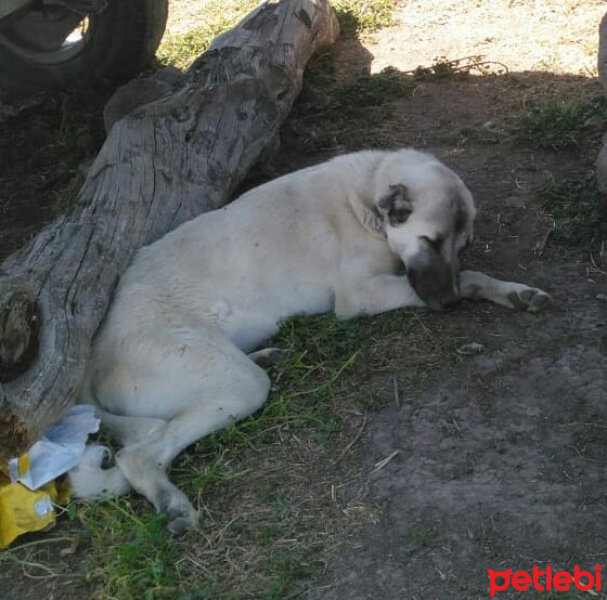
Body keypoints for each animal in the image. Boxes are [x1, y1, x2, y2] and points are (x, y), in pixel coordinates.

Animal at [70, 148, 552, 532]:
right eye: (430, 241)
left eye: (462, 244)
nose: (447, 303)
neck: (366, 197)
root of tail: (89, 363)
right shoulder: (360, 296)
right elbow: (465, 279)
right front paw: (484, 289)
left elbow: (472, 274)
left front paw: (514, 291)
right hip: (237, 385)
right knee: (138, 455)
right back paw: (172, 502)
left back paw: (271, 354)